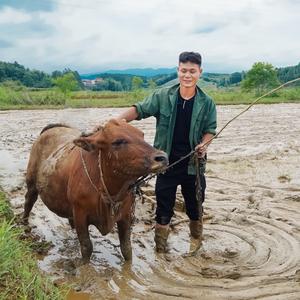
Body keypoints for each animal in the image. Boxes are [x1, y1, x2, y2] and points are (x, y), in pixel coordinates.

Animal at [22, 119, 169, 262]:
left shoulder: (126, 216)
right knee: (29, 202)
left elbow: (126, 248)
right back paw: (24, 224)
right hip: (31, 184)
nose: (163, 157)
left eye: (142, 135)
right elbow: (87, 247)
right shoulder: (80, 214)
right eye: (118, 141)